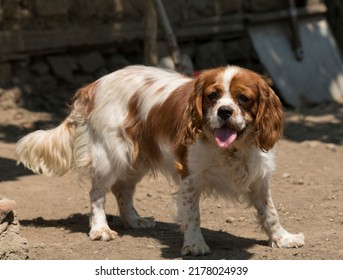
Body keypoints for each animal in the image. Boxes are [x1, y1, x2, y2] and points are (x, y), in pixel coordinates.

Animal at [16, 64, 306, 255]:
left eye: (243, 98)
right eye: (212, 96)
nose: (224, 111)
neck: (232, 148)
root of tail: (95, 84)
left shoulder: (259, 176)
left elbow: (270, 211)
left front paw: (282, 238)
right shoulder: (190, 176)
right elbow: (193, 214)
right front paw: (194, 244)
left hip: (137, 159)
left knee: (122, 190)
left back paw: (134, 220)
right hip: (112, 155)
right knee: (97, 194)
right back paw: (100, 229)